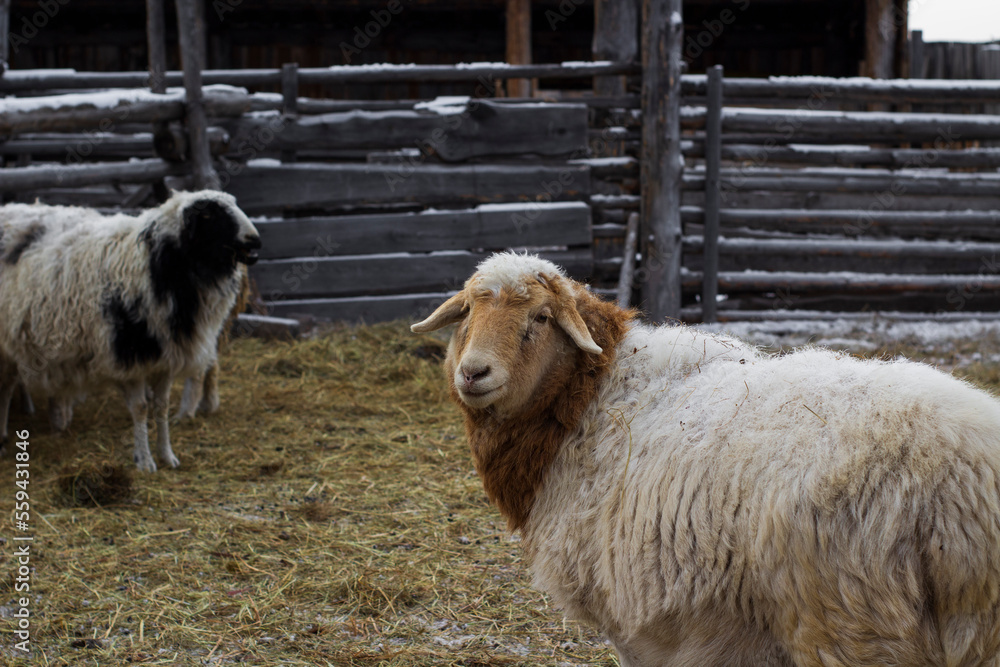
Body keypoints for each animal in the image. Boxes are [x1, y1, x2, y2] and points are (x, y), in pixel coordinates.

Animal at [0, 190, 261, 471]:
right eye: (208, 215)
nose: (255, 241)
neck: (154, 265)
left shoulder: (165, 357)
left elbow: (160, 407)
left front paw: (167, 455)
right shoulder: (130, 357)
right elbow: (141, 408)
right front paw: (144, 460)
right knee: (5, 389)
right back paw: (4, 438)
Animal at [411, 251, 1000, 667]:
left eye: (538, 318)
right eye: (468, 313)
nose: (474, 373)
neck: (590, 399)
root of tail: (962, 483)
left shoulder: (636, 619)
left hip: (851, 620)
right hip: (972, 632)